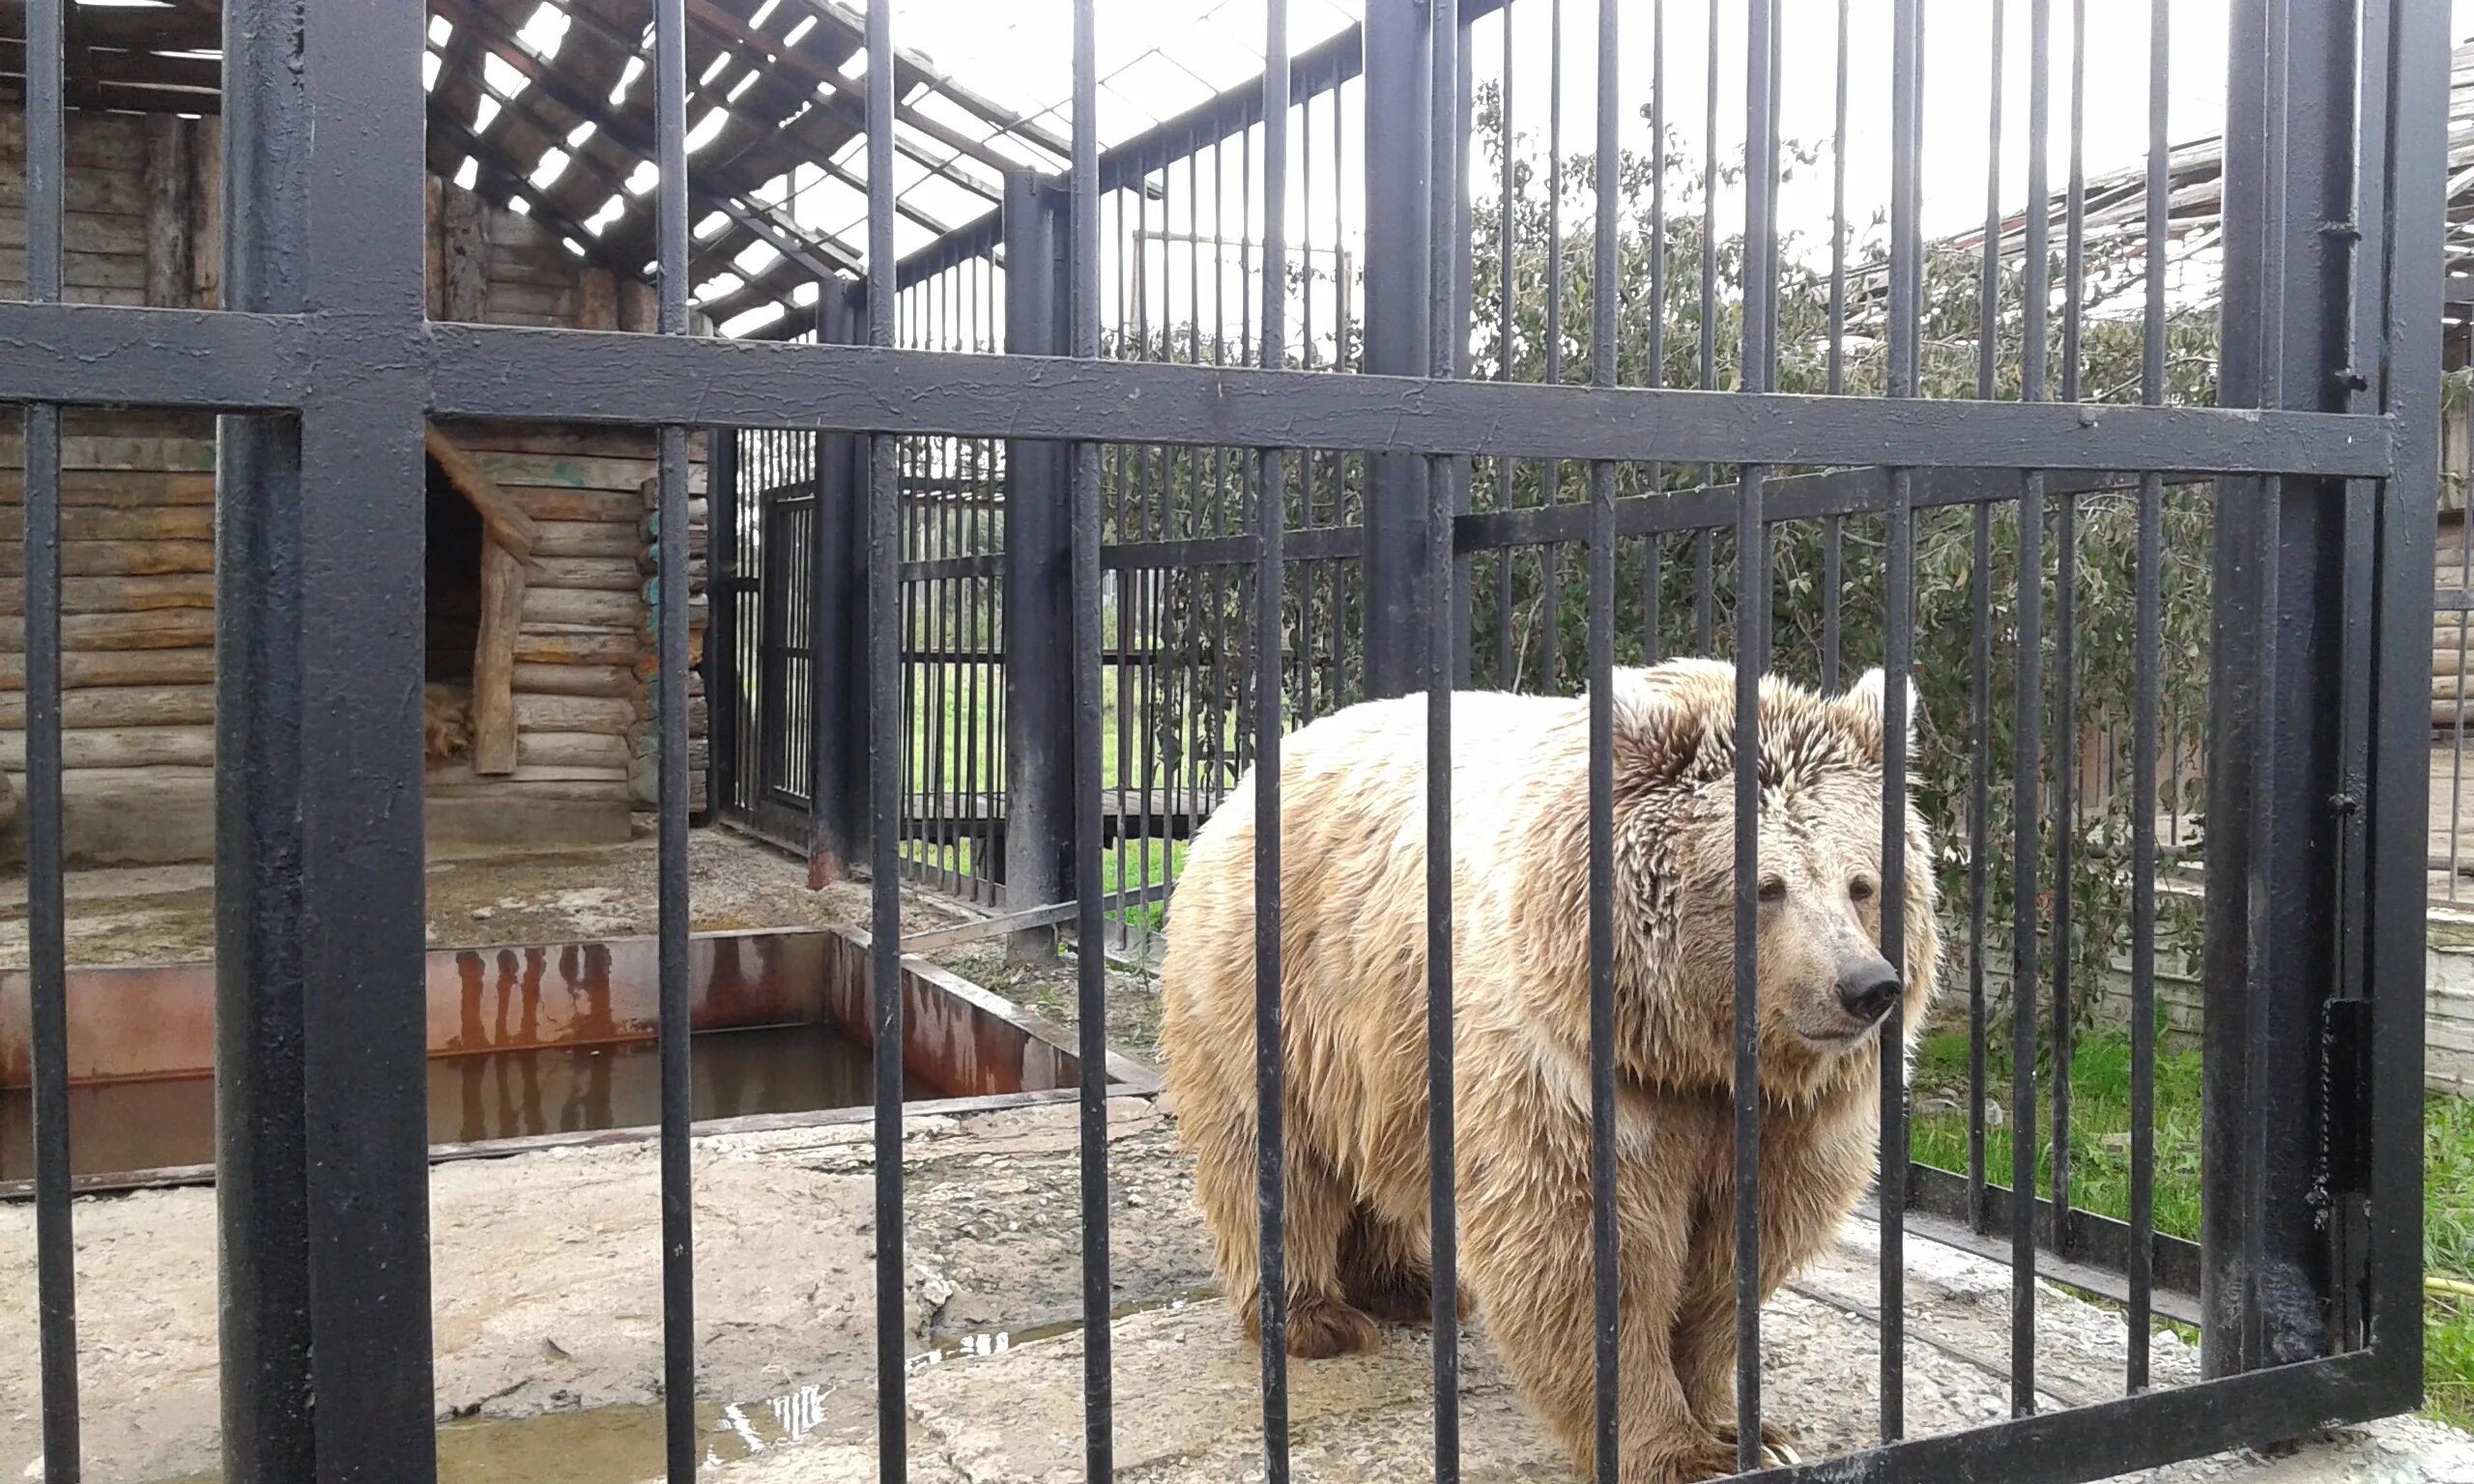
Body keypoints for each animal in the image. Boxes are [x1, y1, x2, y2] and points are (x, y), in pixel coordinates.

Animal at [1158, 663, 1929, 1484]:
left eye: (1862, 883)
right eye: (1765, 885)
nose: (1865, 986)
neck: (1692, 1049)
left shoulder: (1779, 1120)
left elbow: (1736, 1262)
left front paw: (1742, 1428)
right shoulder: (1570, 1068)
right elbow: (1584, 1248)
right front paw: (1677, 1450)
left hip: (1384, 1052)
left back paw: (1413, 1285)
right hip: (1280, 996)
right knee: (1275, 1162)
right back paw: (1315, 1318)